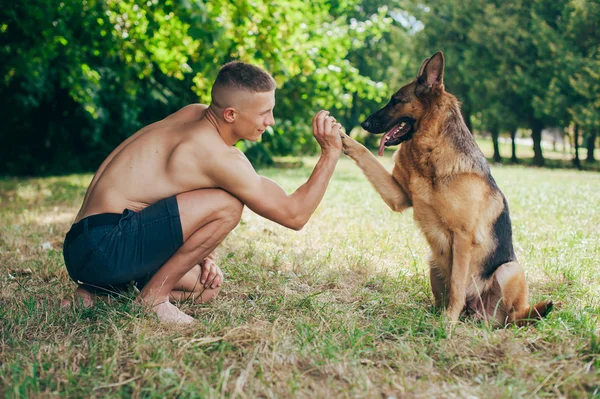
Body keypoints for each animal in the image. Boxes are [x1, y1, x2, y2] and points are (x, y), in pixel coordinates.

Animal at [342, 50, 552, 324]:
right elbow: (366, 154)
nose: (364, 124)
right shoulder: (398, 197)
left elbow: (457, 286)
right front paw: (341, 136)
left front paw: (448, 322)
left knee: (513, 317)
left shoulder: (461, 238)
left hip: (509, 269)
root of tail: (479, 314)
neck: (430, 153)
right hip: (434, 262)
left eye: (396, 100)